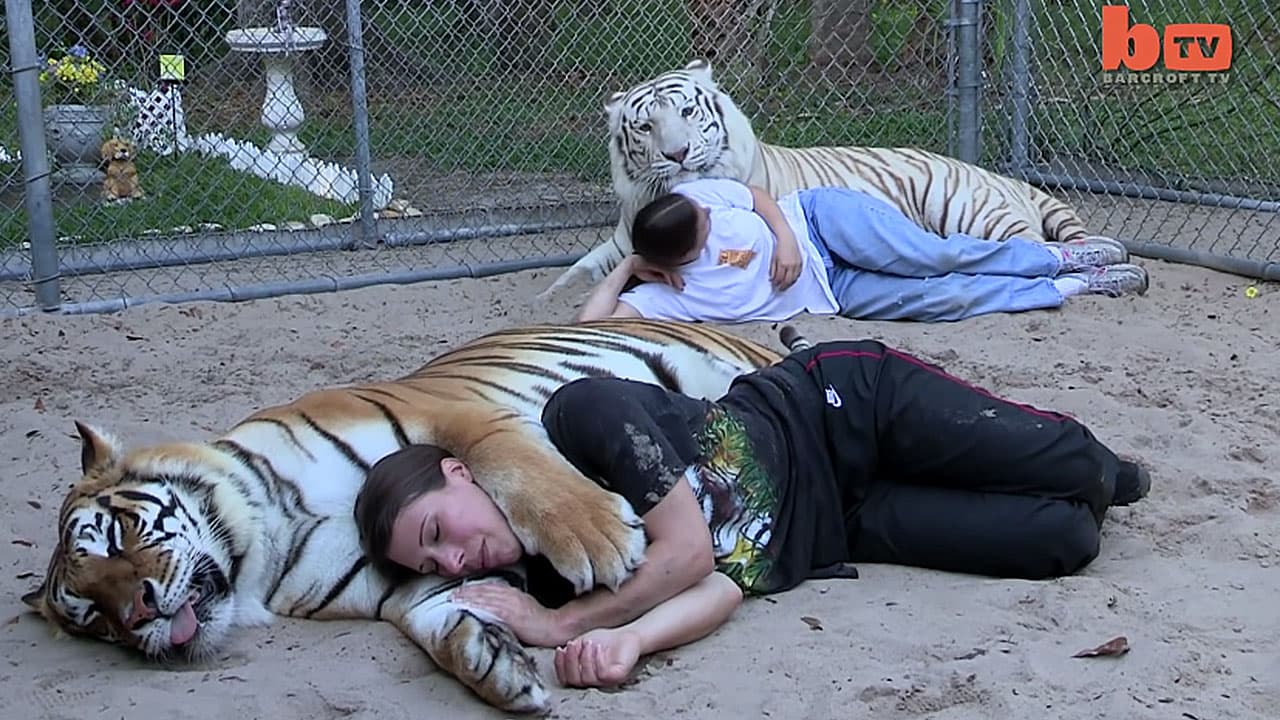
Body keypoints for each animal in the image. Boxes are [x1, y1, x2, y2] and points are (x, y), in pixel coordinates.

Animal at [540, 55, 1090, 297]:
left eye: (688, 113)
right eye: (646, 125)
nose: (677, 154)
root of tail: (1006, 177)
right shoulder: (620, 242)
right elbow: (578, 273)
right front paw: (556, 294)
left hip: (966, 206)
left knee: (1033, 247)